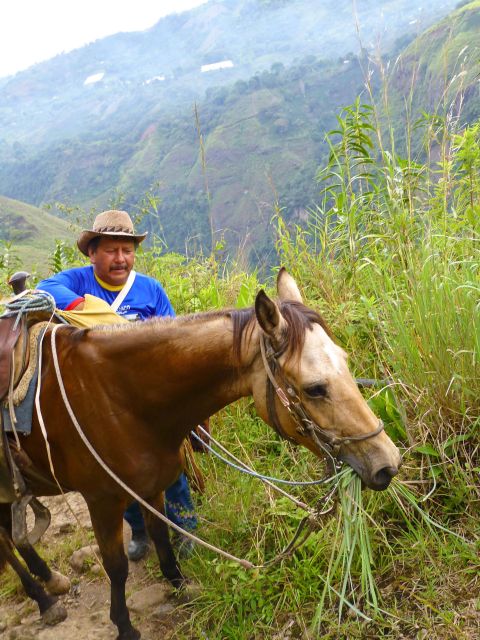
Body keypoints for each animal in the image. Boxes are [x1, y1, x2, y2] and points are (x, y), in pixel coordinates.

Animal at [0, 272, 402, 640]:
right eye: (315, 388)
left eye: (346, 362)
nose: (388, 463)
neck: (117, 396)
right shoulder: (102, 500)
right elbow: (116, 567)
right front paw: (125, 626)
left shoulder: (150, 486)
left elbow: (162, 535)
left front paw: (179, 585)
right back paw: (44, 600)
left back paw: (49, 580)